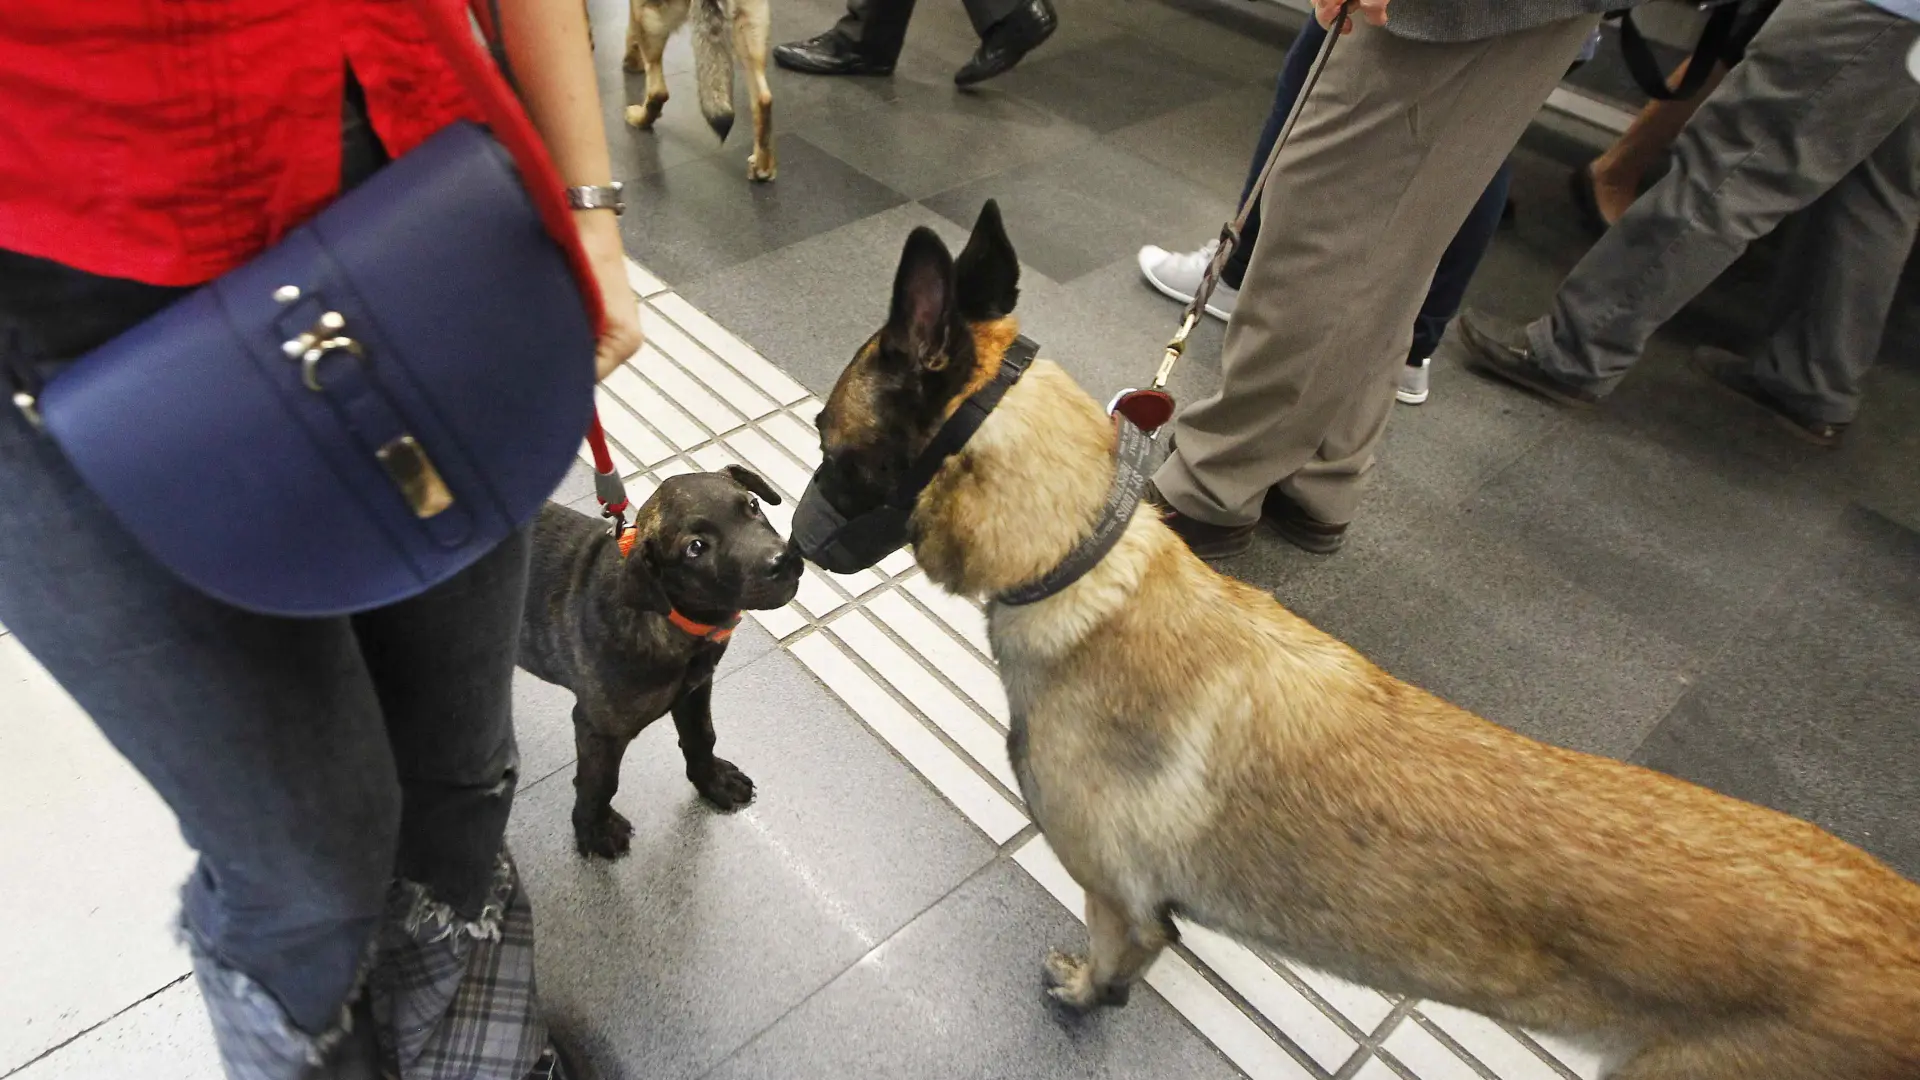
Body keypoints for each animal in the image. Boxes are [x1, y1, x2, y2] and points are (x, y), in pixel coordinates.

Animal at [518, 466, 802, 853]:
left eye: (753, 505)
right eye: (696, 548)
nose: (783, 560)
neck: (667, 615)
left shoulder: (695, 690)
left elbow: (702, 736)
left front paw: (712, 781)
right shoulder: (599, 729)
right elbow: (600, 782)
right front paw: (594, 828)